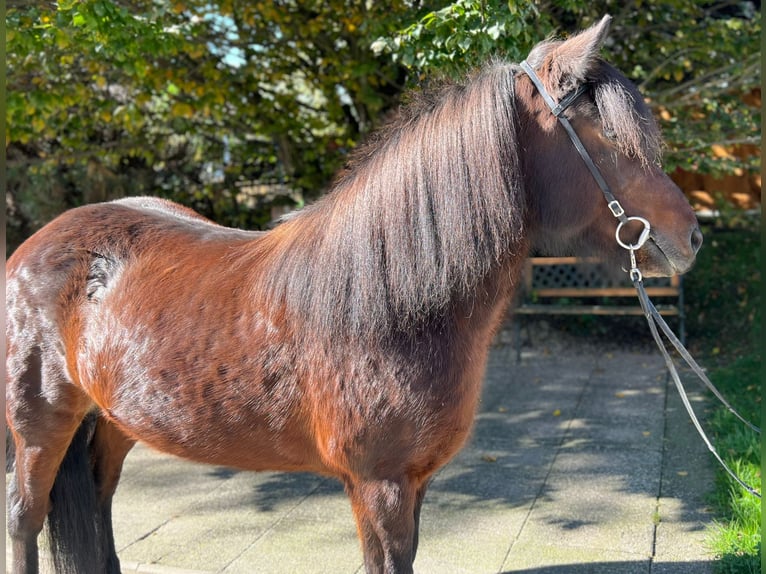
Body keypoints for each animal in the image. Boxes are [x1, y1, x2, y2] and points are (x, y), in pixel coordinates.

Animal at [6, 16, 704, 574]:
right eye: (610, 137)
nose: (691, 237)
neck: (390, 302)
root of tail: (37, 243)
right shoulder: (378, 485)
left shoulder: (413, 485)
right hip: (39, 423)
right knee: (23, 515)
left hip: (113, 417)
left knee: (98, 502)